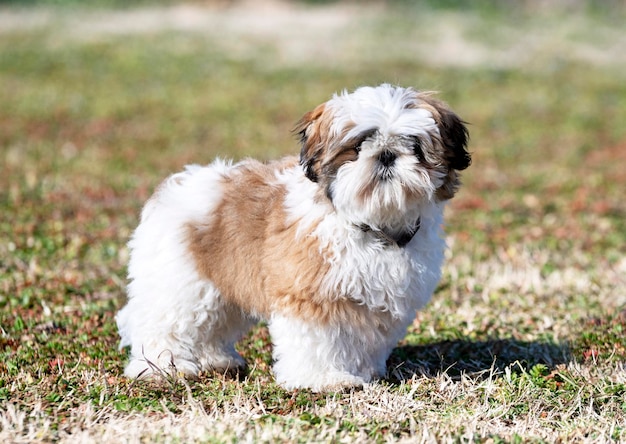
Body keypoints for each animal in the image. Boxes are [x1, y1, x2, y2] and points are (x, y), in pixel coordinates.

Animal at [116, 84, 468, 392]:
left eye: (414, 146)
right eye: (357, 147)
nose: (386, 154)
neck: (373, 225)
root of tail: (175, 185)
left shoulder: (375, 304)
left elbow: (364, 340)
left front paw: (362, 371)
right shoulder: (310, 295)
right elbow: (317, 341)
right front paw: (326, 379)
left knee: (214, 321)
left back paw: (215, 360)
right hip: (179, 281)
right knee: (166, 321)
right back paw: (160, 366)